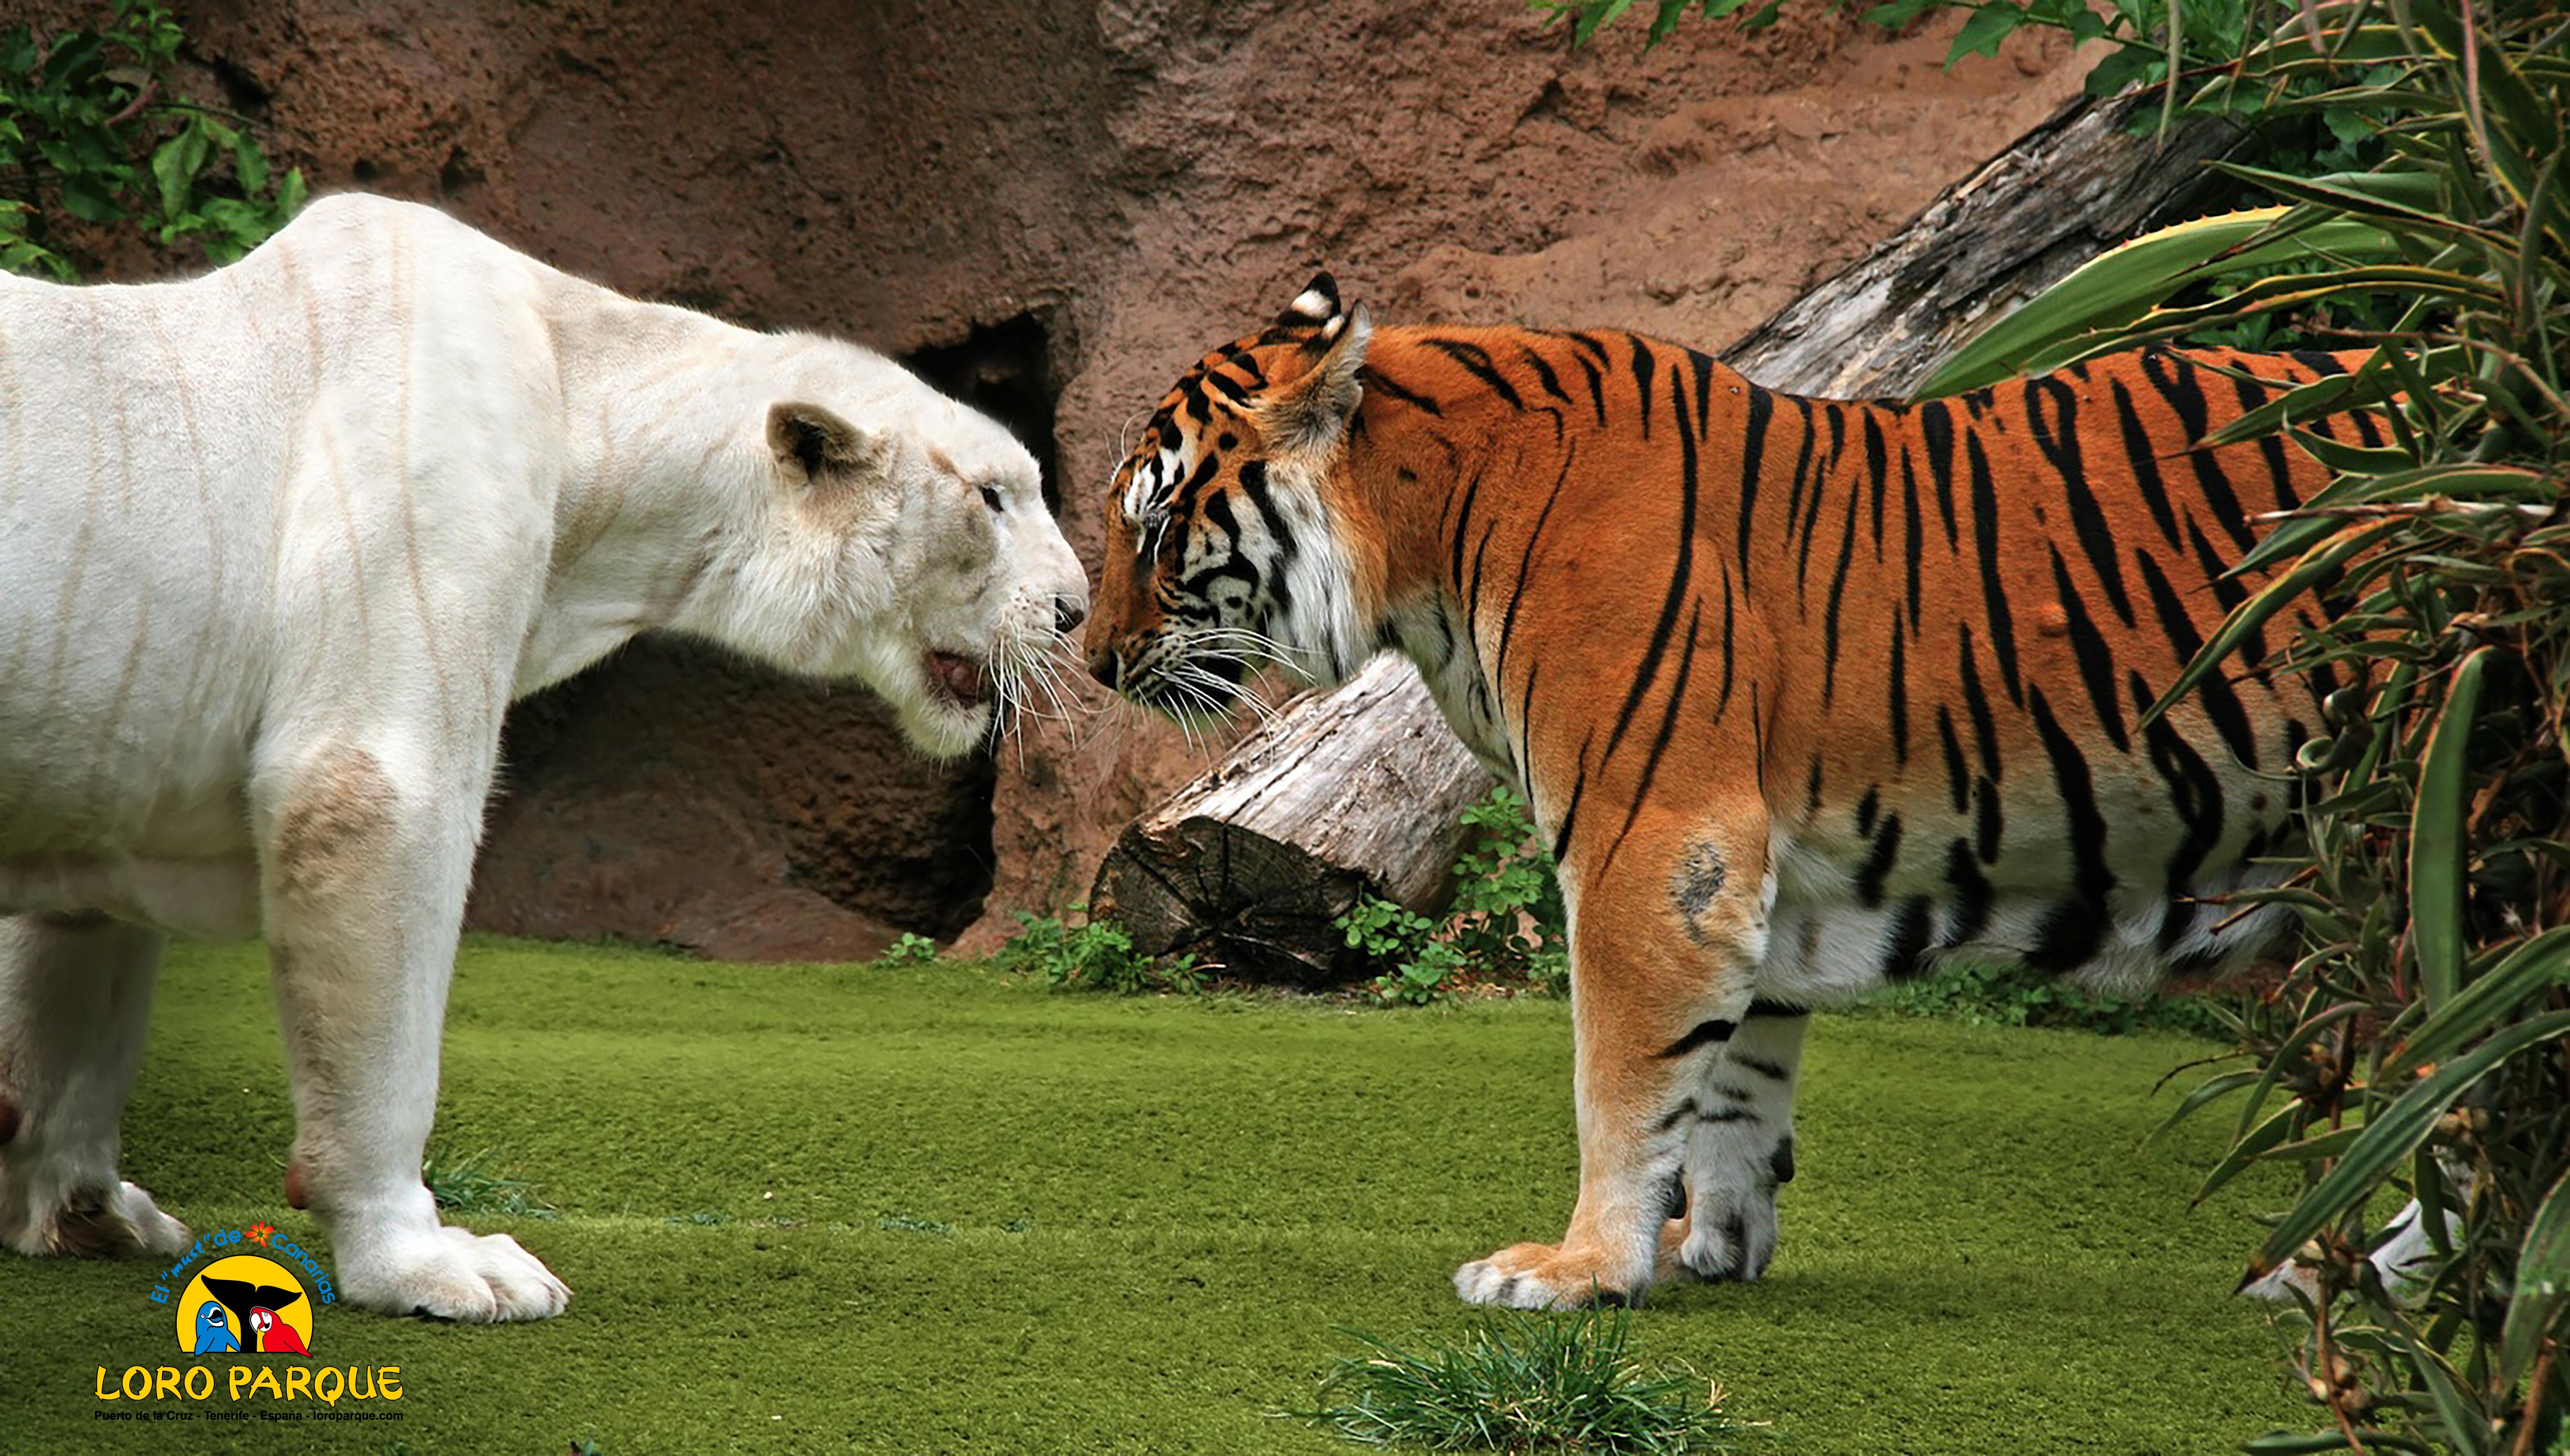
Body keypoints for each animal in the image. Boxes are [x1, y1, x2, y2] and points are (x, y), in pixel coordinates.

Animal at [0, 199, 1090, 1325]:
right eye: (994, 495)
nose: (1073, 610)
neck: (583, 396)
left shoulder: (109, 722)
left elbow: (83, 923)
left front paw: (99, 1208)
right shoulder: (425, 489)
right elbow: (369, 799)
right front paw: (449, 1263)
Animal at [1079, 273, 2364, 1309]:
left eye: (1154, 526)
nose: (1090, 659)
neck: (1426, 533)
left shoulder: (1649, 836)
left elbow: (1618, 1077)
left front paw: (1575, 1269)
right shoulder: (1756, 870)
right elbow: (1733, 1082)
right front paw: (1709, 1244)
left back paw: (2312, 1280)